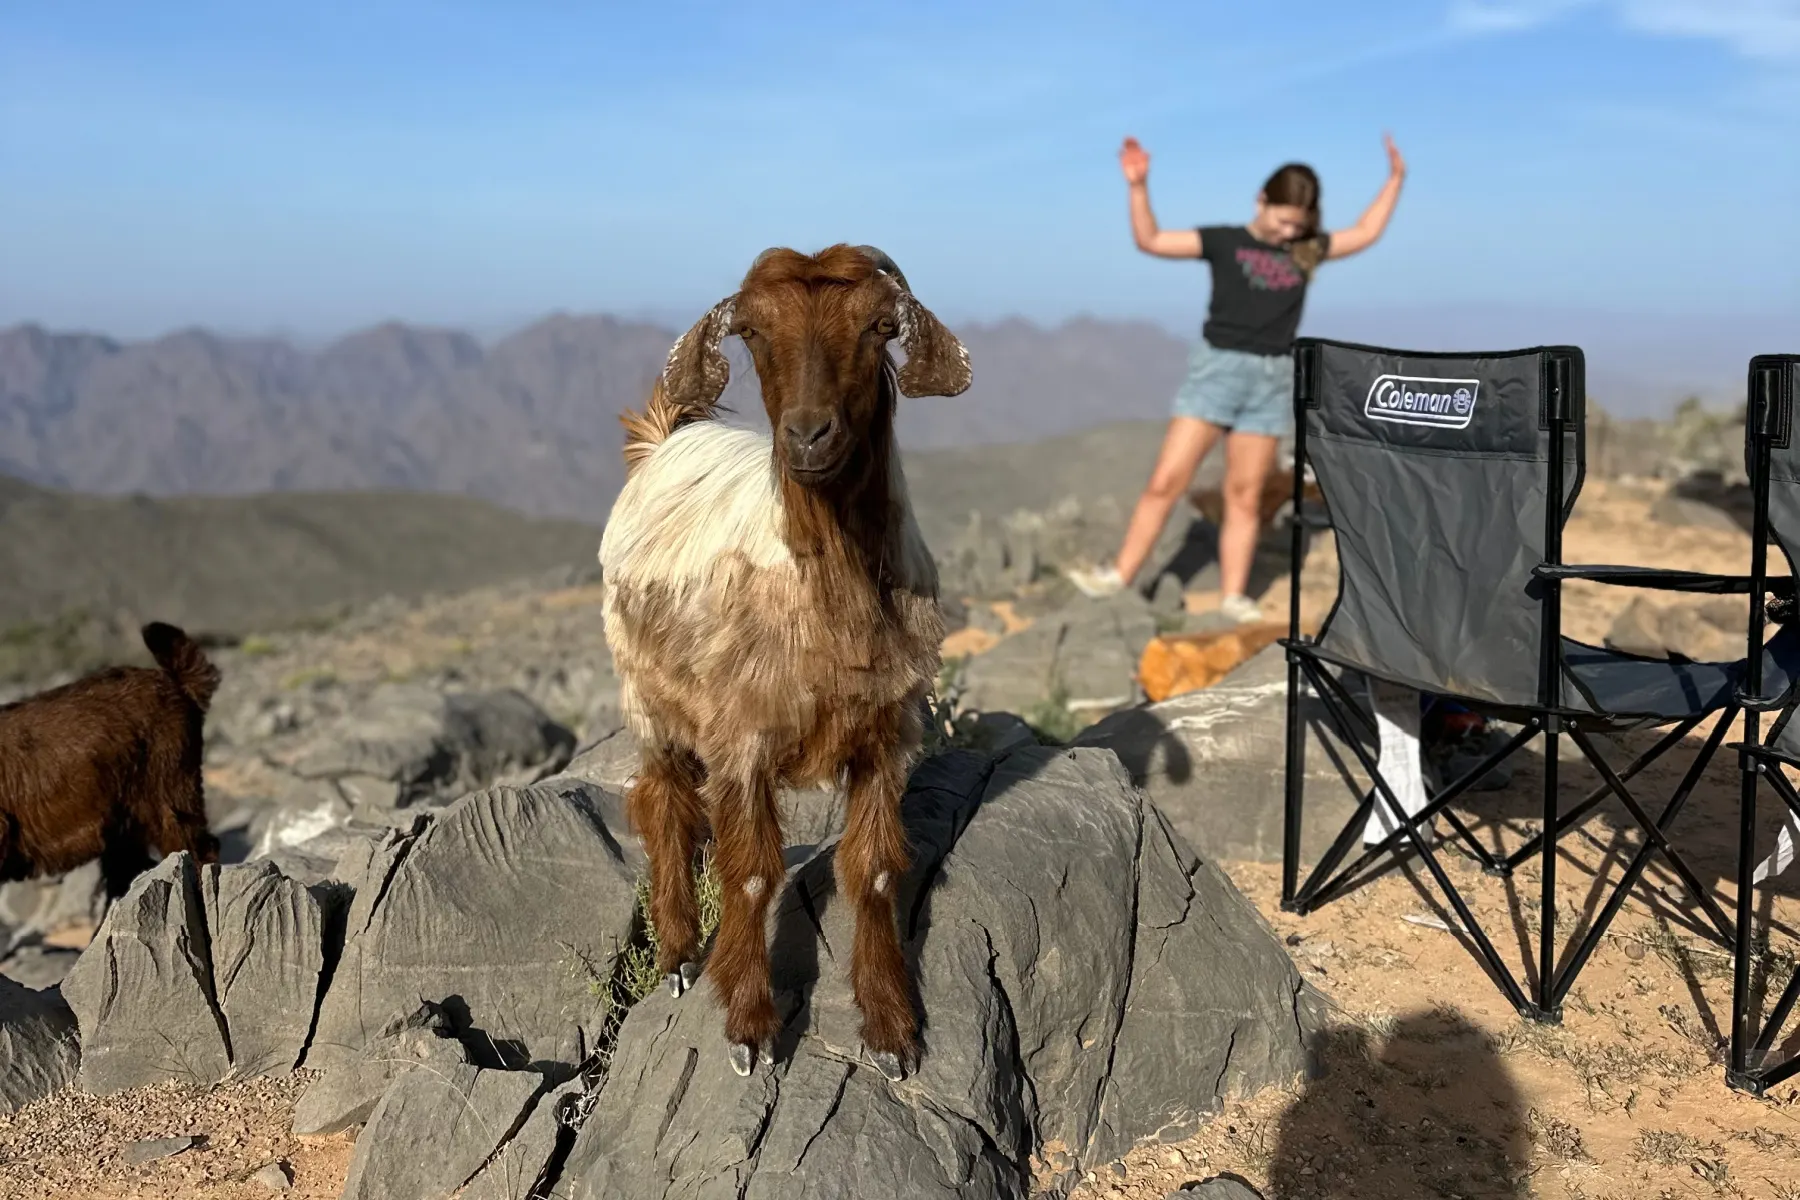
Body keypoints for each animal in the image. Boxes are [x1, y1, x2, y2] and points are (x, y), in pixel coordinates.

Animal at [600, 244, 972, 1080]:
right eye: (755, 334)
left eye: (877, 328)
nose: (808, 436)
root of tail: (663, 440)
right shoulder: (741, 737)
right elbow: (751, 872)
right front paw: (749, 1027)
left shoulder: (886, 733)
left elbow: (871, 869)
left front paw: (891, 1030)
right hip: (650, 696)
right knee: (665, 805)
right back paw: (678, 953)